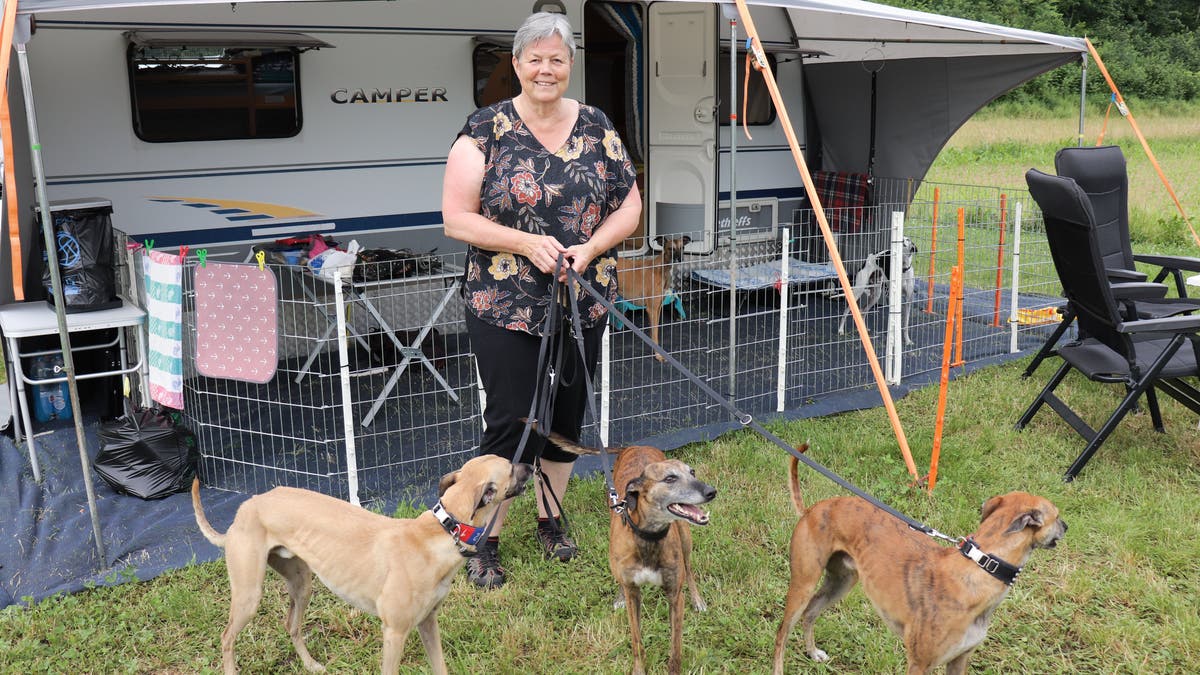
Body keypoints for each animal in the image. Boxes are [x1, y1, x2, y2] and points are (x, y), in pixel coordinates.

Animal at [193, 454, 535, 667]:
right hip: (249, 595)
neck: (439, 531)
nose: (531, 466)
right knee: (226, 638)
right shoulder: (394, 633)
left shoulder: (428, 621)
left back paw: (312, 665)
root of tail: (247, 506)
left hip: (301, 584)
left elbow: (441, 667)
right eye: (510, 467)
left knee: (291, 624)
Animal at [540, 427, 715, 672]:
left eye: (692, 472)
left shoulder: (674, 596)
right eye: (670, 478)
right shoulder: (634, 594)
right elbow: (637, 640)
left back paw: (698, 600)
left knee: (689, 570)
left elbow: (675, 648)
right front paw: (639, 669)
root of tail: (635, 446)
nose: (711, 491)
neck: (648, 537)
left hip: (685, 538)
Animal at [777, 446, 1070, 672]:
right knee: (782, 633)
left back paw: (813, 653)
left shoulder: (960, 659)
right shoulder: (919, 663)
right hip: (803, 583)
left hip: (842, 582)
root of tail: (812, 510)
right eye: (1057, 516)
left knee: (811, 612)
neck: (980, 567)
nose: (1066, 527)